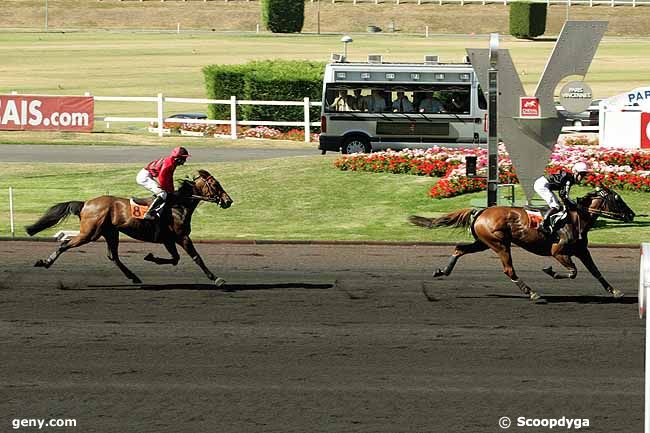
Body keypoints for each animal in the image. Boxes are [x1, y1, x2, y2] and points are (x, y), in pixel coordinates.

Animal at [26, 170, 233, 286]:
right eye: (215, 184)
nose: (228, 201)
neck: (178, 205)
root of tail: (86, 203)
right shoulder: (181, 237)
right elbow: (196, 258)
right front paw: (216, 278)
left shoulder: (168, 239)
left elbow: (175, 259)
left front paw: (151, 257)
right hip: (90, 233)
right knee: (65, 244)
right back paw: (45, 262)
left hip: (110, 233)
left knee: (113, 256)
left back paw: (133, 277)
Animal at [410, 186, 632, 300]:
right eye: (617, 198)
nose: (631, 214)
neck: (575, 218)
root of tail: (481, 211)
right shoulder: (557, 251)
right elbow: (573, 272)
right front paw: (550, 271)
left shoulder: (581, 250)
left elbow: (595, 271)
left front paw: (615, 291)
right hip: (499, 244)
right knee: (509, 270)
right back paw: (531, 292)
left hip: (483, 242)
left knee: (459, 249)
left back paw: (442, 271)